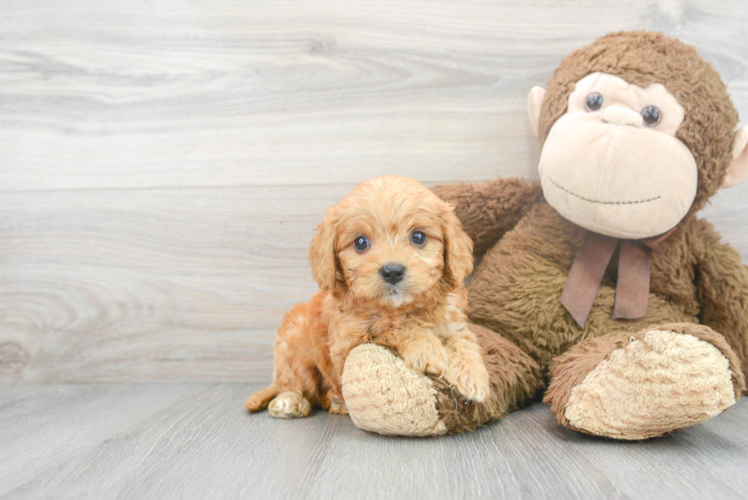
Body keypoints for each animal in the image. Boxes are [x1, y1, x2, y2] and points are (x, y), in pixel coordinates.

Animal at [245, 176, 490, 418]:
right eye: (360, 242)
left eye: (418, 237)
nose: (392, 271)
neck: (399, 308)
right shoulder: (348, 344)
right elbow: (389, 327)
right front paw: (426, 347)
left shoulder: (453, 322)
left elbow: (463, 341)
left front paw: (473, 376)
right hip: (293, 338)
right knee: (296, 384)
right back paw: (291, 401)